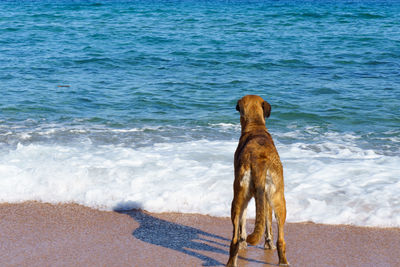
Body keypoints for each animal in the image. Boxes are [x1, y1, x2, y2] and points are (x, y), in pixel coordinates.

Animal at [227, 96, 290, 267]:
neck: (256, 126)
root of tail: (258, 160)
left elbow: (244, 222)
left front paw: (244, 241)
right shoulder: (264, 197)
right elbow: (266, 221)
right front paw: (267, 243)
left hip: (238, 198)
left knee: (234, 238)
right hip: (279, 198)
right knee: (281, 238)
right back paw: (282, 260)